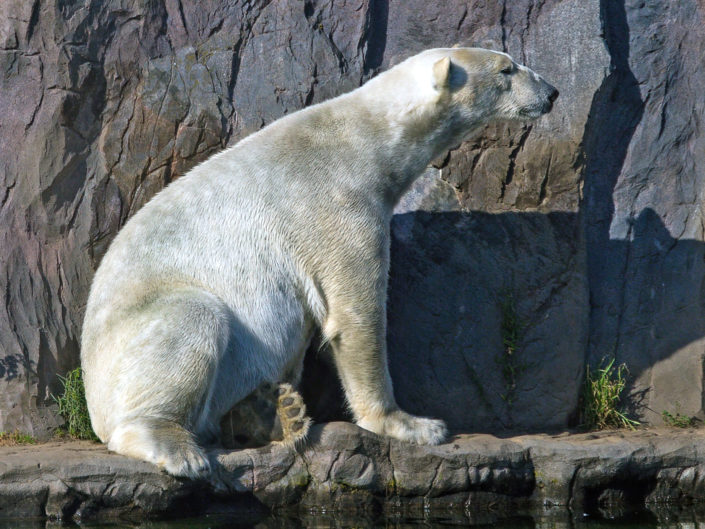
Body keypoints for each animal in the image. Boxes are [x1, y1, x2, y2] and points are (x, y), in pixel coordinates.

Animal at [81, 47, 558, 478]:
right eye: (507, 68)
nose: (551, 92)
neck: (366, 137)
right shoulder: (336, 202)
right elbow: (355, 315)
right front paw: (414, 425)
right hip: (127, 343)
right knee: (191, 320)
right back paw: (179, 447)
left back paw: (275, 411)